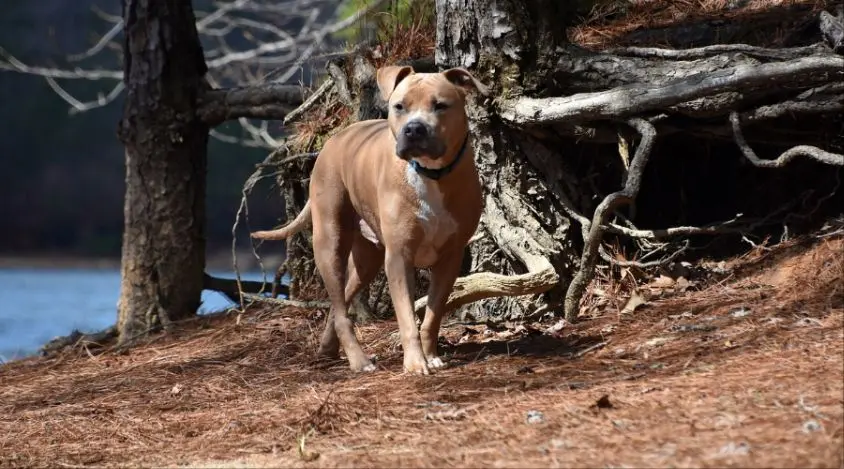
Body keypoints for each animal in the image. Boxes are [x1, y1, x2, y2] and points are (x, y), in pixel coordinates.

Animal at [251, 65, 488, 372]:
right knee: (341, 309)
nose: (414, 129)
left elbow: (432, 317)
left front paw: (431, 355)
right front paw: (415, 363)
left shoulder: (450, 258)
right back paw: (359, 360)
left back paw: (328, 349)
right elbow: (407, 318)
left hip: (367, 261)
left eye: (440, 106)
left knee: (341, 301)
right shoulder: (399, 257)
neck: (430, 174)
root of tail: (336, 138)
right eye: (399, 106)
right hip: (330, 242)